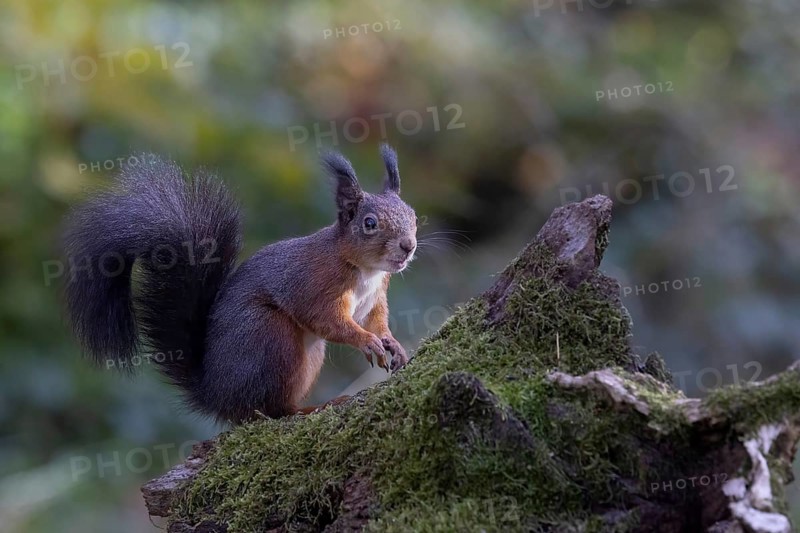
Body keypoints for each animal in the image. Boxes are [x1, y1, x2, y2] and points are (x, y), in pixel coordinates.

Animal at [63, 144, 417, 423]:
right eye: (369, 223)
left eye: (413, 215)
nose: (408, 246)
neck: (365, 270)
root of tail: (215, 393)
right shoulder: (313, 285)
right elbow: (327, 320)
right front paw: (366, 341)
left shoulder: (375, 297)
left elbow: (375, 319)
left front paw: (391, 342)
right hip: (270, 336)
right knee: (268, 409)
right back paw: (310, 408)